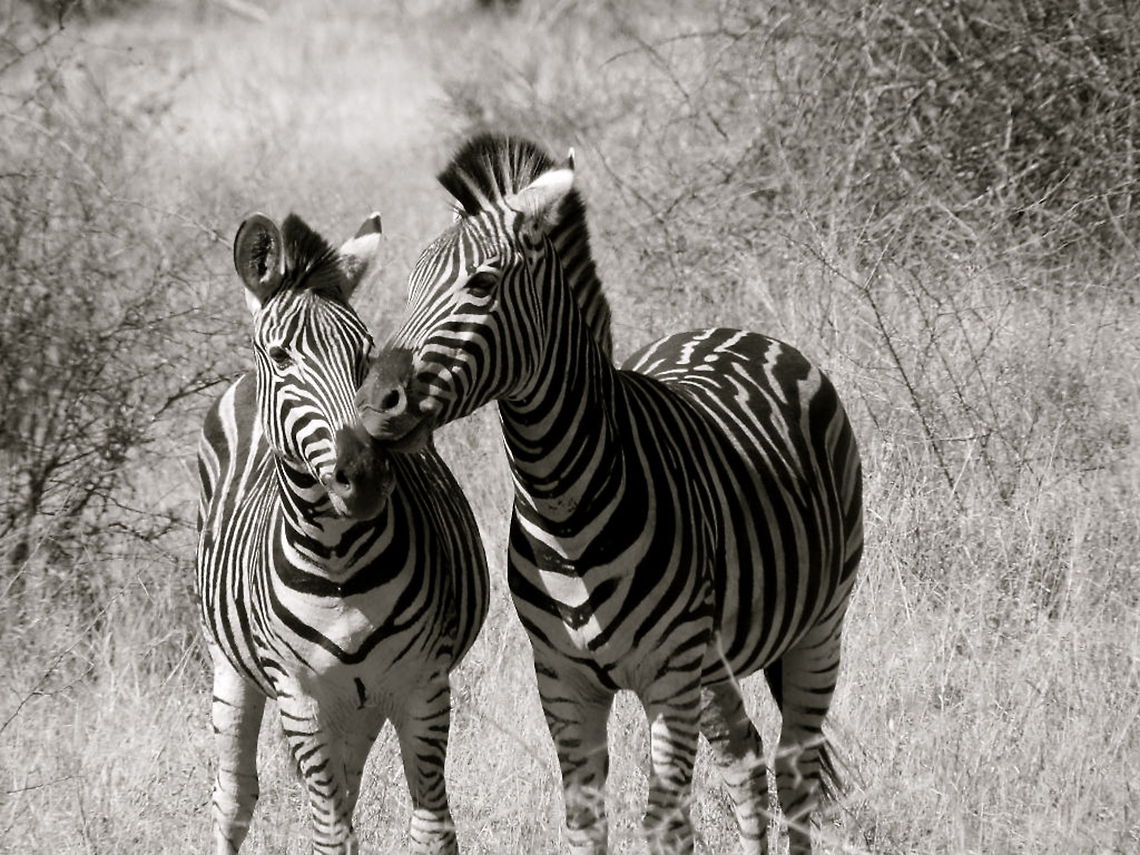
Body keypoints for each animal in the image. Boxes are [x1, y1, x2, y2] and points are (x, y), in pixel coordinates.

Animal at [195, 211, 489, 855]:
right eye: (281, 357)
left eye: (365, 354)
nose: (367, 475)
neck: (338, 561)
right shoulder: (301, 701)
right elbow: (330, 835)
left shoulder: (422, 688)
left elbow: (431, 828)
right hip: (232, 668)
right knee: (233, 799)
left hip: (361, 703)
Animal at [354, 134, 864, 855]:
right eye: (409, 286)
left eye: (481, 284)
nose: (374, 404)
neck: (563, 499)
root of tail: (745, 332)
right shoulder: (563, 683)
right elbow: (584, 823)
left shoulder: (669, 676)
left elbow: (664, 826)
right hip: (715, 661)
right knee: (744, 752)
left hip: (819, 626)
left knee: (797, 768)